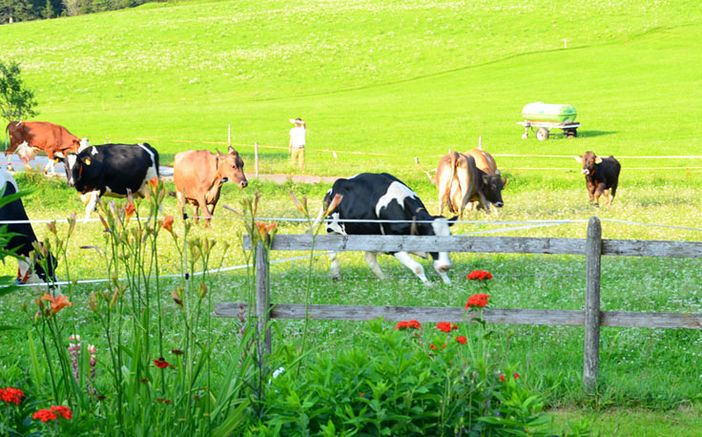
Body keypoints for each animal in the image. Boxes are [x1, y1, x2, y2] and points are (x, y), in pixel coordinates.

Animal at [324, 172, 456, 284]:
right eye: (432, 239)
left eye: (450, 237)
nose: (445, 266)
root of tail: (333, 188)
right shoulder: (393, 246)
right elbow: (418, 267)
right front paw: (428, 284)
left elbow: (436, 266)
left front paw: (447, 283)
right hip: (332, 229)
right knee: (332, 252)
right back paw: (335, 274)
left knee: (370, 259)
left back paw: (384, 279)